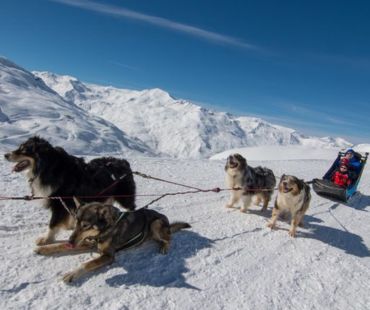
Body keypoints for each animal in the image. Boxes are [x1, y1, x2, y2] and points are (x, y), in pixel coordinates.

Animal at [3, 136, 137, 245]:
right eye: (20, 147)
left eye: (24, 149)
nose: (5, 155)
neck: (47, 168)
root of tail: (125, 162)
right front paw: (70, 225)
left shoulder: (59, 201)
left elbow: (53, 223)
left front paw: (46, 239)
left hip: (124, 196)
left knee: (131, 207)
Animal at [34, 199, 191, 284]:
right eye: (76, 222)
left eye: (85, 225)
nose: (70, 241)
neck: (105, 229)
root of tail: (167, 222)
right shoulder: (89, 243)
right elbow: (60, 245)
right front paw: (44, 248)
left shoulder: (108, 256)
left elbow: (86, 264)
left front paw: (72, 273)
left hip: (156, 224)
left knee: (169, 238)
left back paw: (164, 246)